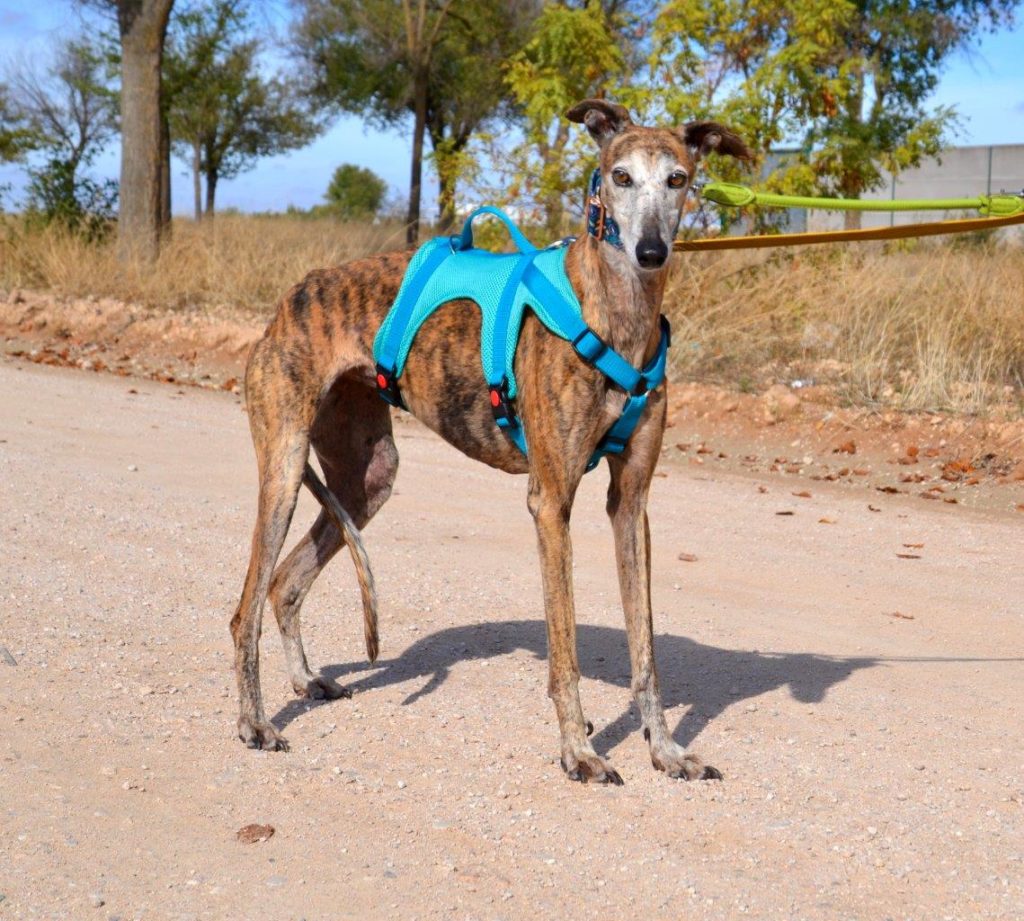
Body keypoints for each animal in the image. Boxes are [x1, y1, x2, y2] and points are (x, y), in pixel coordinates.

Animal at [234, 98, 753, 786]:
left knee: (285, 582)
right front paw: (579, 751)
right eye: (620, 177)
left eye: (678, 180)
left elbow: (645, 651)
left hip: (368, 477)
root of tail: (291, 298)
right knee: (245, 609)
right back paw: (254, 722)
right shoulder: (550, 502)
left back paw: (305, 680)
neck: (615, 314)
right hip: (285, 471)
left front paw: (664, 749)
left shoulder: (632, 504)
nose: (650, 251)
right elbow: (564, 653)